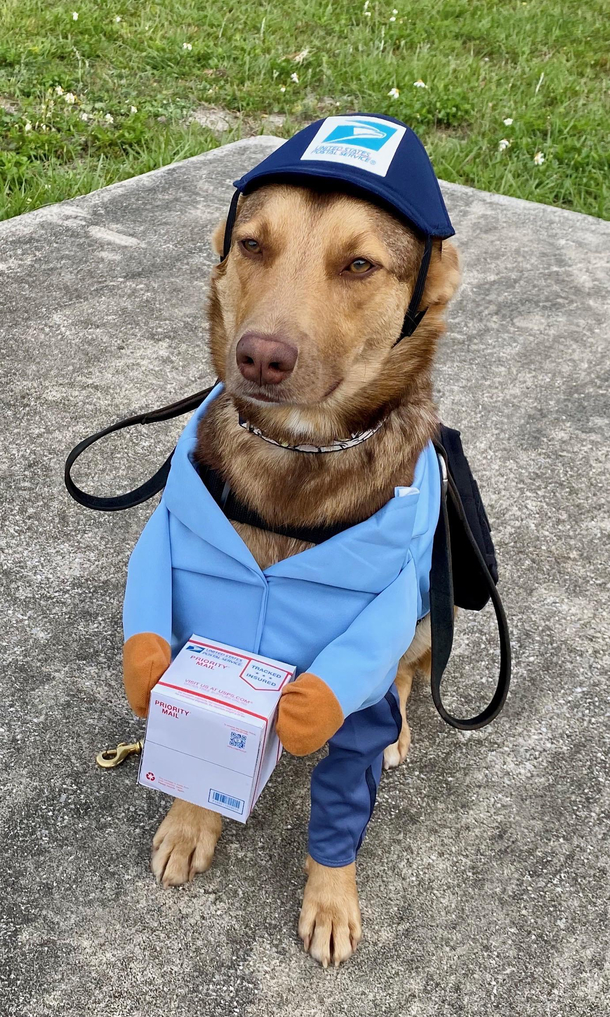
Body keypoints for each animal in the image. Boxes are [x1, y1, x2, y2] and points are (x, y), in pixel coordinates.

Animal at [145, 183, 457, 968]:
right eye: (252, 244)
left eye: (359, 264)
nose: (260, 357)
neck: (299, 453)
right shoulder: (205, 635)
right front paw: (191, 823)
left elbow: (343, 806)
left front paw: (331, 898)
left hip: (424, 616)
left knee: (405, 673)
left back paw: (400, 728)